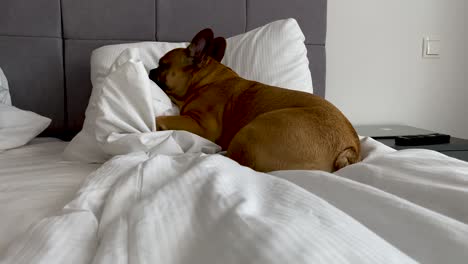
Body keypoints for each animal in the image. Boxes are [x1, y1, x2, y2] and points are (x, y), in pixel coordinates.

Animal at [148, 29, 360, 173]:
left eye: (162, 65)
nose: (150, 70)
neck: (205, 80)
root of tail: (350, 149)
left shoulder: (203, 125)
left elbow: (162, 119)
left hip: (252, 130)